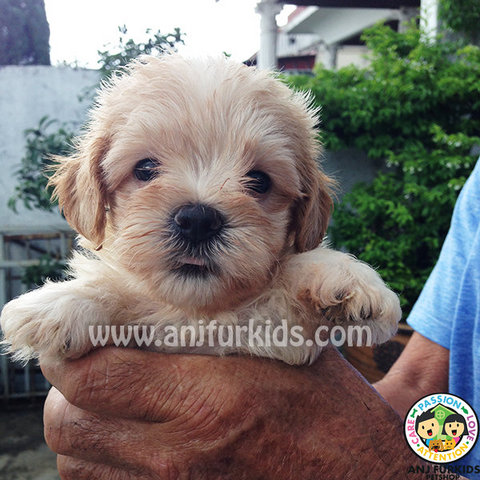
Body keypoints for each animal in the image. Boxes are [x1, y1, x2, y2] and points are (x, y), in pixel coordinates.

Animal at [0, 55, 402, 364]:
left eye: (259, 181)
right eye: (145, 168)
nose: (197, 221)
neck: (195, 314)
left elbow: (294, 272)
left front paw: (347, 278)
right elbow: (118, 294)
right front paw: (56, 304)